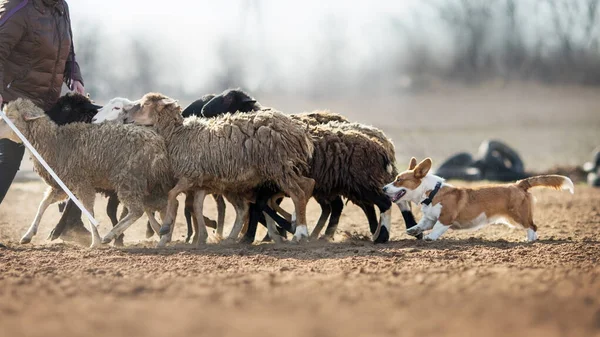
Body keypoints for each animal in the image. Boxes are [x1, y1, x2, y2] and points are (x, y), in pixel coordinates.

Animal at [0, 97, 173, 247]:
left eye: (10, 117)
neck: (55, 142)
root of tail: (158, 143)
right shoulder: (63, 184)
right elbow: (43, 204)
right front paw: (28, 235)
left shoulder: (82, 183)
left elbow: (89, 210)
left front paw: (95, 242)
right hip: (148, 183)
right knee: (158, 206)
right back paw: (162, 232)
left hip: (128, 179)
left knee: (137, 210)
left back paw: (112, 235)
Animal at [116, 92, 314, 244]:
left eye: (146, 104)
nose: (125, 118)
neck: (178, 135)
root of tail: (297, 131)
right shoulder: (201, 182)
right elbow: (194, 206)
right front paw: (200, 235)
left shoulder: (191, 174)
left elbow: (173, 194)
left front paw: (165, 227)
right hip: (277, 169)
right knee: (307, 185)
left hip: (277, 165)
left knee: (298, 193)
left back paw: (300, 231)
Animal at [382, 156, 576, 240]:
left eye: (398, 180)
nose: (383, 188)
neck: (432, 192)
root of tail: (519, 184)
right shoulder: (429, 218)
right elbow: (422, 224)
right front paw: (413, 230)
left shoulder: (445, 218)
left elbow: (437, 228)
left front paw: (430, 238)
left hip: (518, 216)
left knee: (532, 226)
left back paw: (530, 240)